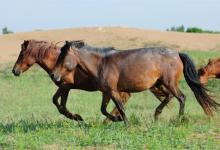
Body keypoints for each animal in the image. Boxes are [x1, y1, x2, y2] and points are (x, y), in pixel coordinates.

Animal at [11, 40, 170, 122]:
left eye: (22, 54)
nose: (14, 71)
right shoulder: (66, 87)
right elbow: (59, 103)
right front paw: (76, 117)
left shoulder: (66, 86)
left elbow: (59, 103)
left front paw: (76, 117)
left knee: (124, 100)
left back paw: (112, 119)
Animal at [50, 40, 219, 124]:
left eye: (63, 57)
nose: (53, 75)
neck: (101, 64)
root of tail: (177, 53)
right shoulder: (106, 92)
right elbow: (103, 109)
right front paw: (117, 119)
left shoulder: (114, 91)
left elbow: (120, 108)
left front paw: (126, 124)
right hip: (159, 84)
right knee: (169, 97)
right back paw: (156, 116)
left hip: (169, 83)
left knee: (181, 97)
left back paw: (179, 119)